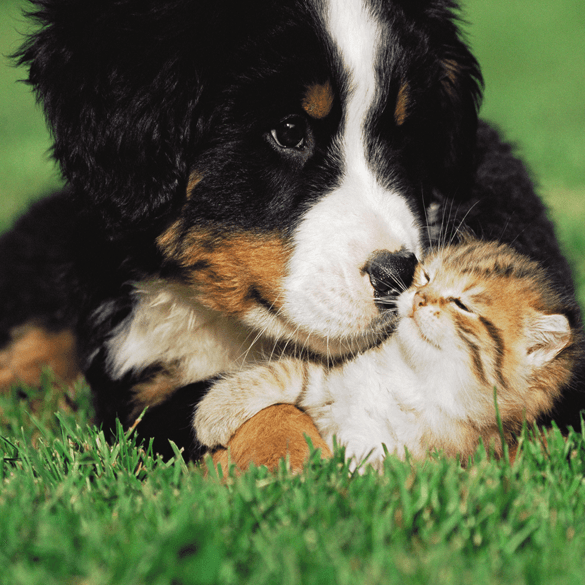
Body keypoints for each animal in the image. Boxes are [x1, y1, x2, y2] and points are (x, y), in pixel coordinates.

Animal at [194, 237, 576, 470]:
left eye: (462, 304)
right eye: (426, 277)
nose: (419, 298)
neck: (411, 377)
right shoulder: (334, 380)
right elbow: (290, 372)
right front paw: (216, 411)